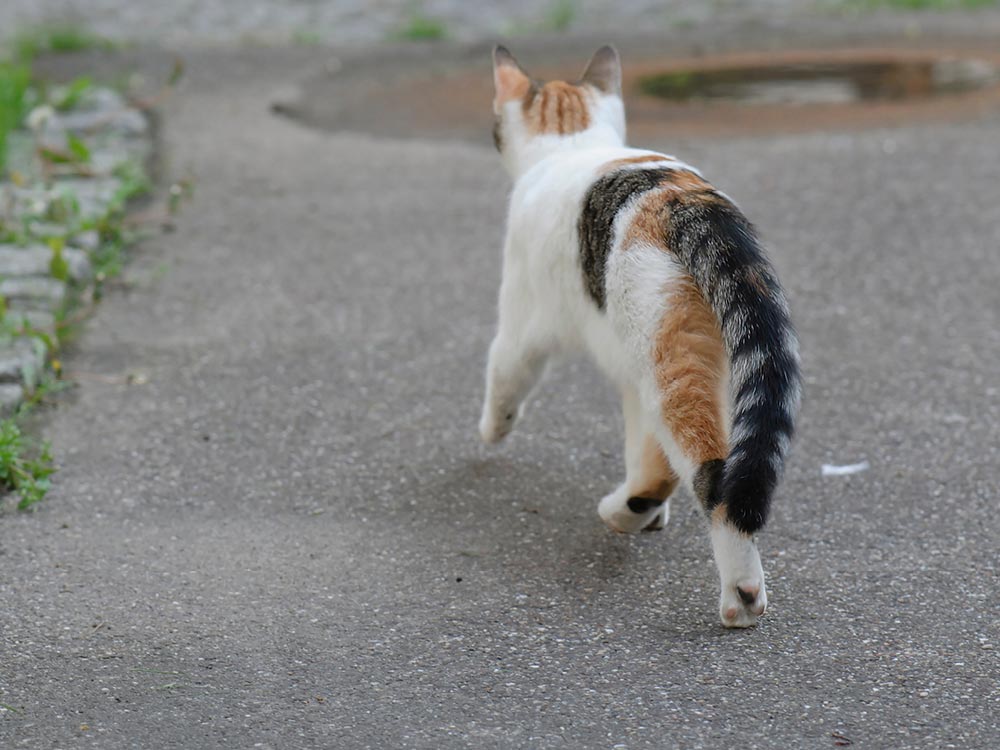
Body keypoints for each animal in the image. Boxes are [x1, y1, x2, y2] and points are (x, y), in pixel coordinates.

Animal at [480, 42, 800, 628]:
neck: (575, 142)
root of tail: (683, 200)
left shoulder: (522, 321)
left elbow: (506, 373)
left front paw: (493, 429)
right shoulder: (629, 375)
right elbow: (640, 447)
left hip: (665, 355)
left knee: (705, 470)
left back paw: (734, 587)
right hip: (695, 352)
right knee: (679, 458)